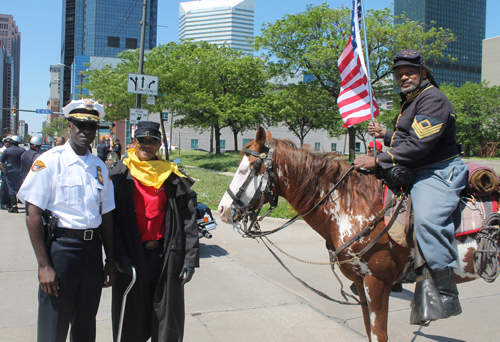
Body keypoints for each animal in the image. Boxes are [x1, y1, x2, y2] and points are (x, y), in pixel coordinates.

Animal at [218, 127, 484, 342]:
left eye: (245, 169)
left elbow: (379, 335)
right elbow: (368, 331)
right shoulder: (360, 282)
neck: (356, 206)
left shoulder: (377, 282)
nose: (222, 210)